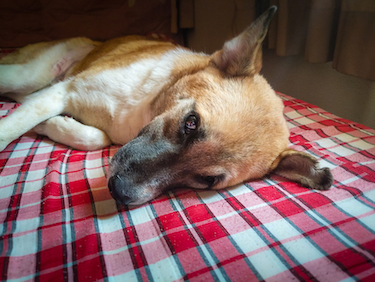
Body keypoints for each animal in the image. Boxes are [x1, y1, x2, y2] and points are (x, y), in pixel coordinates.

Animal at [0, 6, 334, 205]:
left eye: (208, 180)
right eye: (191, 122)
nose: (118, 192)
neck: (142, 110)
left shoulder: (69, 102)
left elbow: (95, 137)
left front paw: (52, 125)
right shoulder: (64, 90)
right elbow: (12, 127)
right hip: (27, 74)